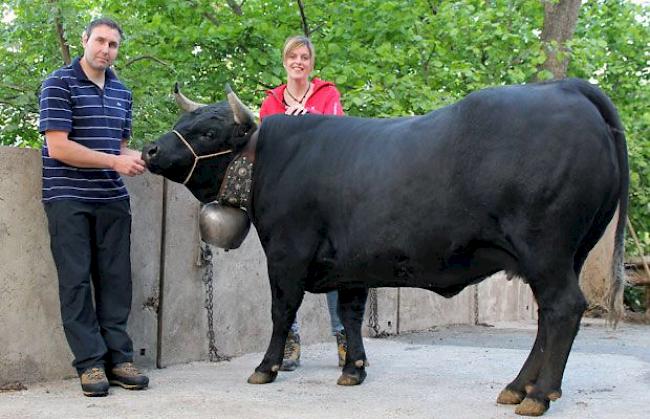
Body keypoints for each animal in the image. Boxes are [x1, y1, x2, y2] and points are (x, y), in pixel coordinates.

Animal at [142, 79, 624, 416]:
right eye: (184, 123)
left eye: (208, 130)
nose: (149, 150)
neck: (273, 160)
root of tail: (565, 87)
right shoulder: (351, 263)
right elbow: (353, 315)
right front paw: (353, 370)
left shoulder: (286, 252)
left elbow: (282, 312)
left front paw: (265, 368)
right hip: (568, 255)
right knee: (548, 316)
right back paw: (518, 387)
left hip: (546, 250)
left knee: (563, 309)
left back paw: (538, 395)